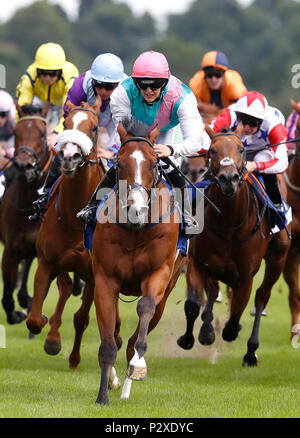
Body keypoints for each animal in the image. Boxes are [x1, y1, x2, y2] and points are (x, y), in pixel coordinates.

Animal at [26, 98, 106, 370]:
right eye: (67, 123)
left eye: (94, 127)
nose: (70, 156)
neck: (75, 217)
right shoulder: (46, 262)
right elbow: (34, 319)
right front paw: (50, 336)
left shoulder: (94, 275)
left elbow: (81, 318)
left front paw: (74, 359)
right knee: (65, 286)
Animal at [91, 119, 185, 404]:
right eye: (119, 163)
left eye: (154, 163)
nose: (136, 209)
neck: (136, 229)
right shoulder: (105, 279)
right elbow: (108, 342)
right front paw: (102, 396)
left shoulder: (159, 273)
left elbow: (144, 310)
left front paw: (138, 367)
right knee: (114, 332)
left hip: (167, 293)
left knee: (137, 333)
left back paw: (127, 385)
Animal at [177, 126, 290, 366]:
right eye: (212, 150)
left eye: (241, 149)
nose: (228, 179)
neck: (228, 225)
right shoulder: (198, 263)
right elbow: (193, 304)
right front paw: (190, 338)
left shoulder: (245, 277)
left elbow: (236, 315)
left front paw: (233, 330)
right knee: (212, 292)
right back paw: (207, 330)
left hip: (278, 258)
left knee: (261, 297)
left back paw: (250, 352)